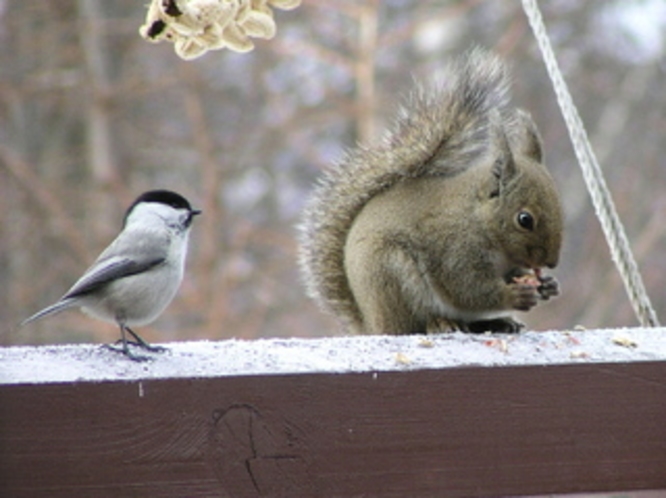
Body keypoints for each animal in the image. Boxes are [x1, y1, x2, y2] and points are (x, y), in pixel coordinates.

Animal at [296, 48, 560, 334]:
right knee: (414, 324)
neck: (478, 218)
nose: (552, 263)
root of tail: (372, 324)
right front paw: (513, 296)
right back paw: (441, 323)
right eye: (525, 219)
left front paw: (548, 286)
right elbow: (467, 289)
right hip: (393, 274)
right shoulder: (454, 249)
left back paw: (498, 322)